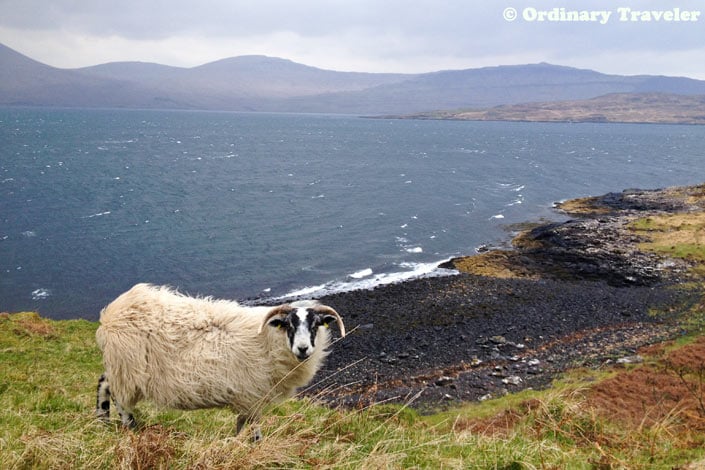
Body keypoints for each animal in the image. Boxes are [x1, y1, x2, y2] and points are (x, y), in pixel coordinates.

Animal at [95, 282, 346, 436]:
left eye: (315, 325)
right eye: (289, 325)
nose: (303, 349)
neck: (269, 341)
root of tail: (111, 312)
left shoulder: (246, 399)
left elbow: (240, 429)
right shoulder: (251, 396)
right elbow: (254, 433)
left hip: (121, 366)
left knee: (103, 382)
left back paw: (102, 420)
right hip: (127, 367)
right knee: (117, 395)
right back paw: (130, 426)